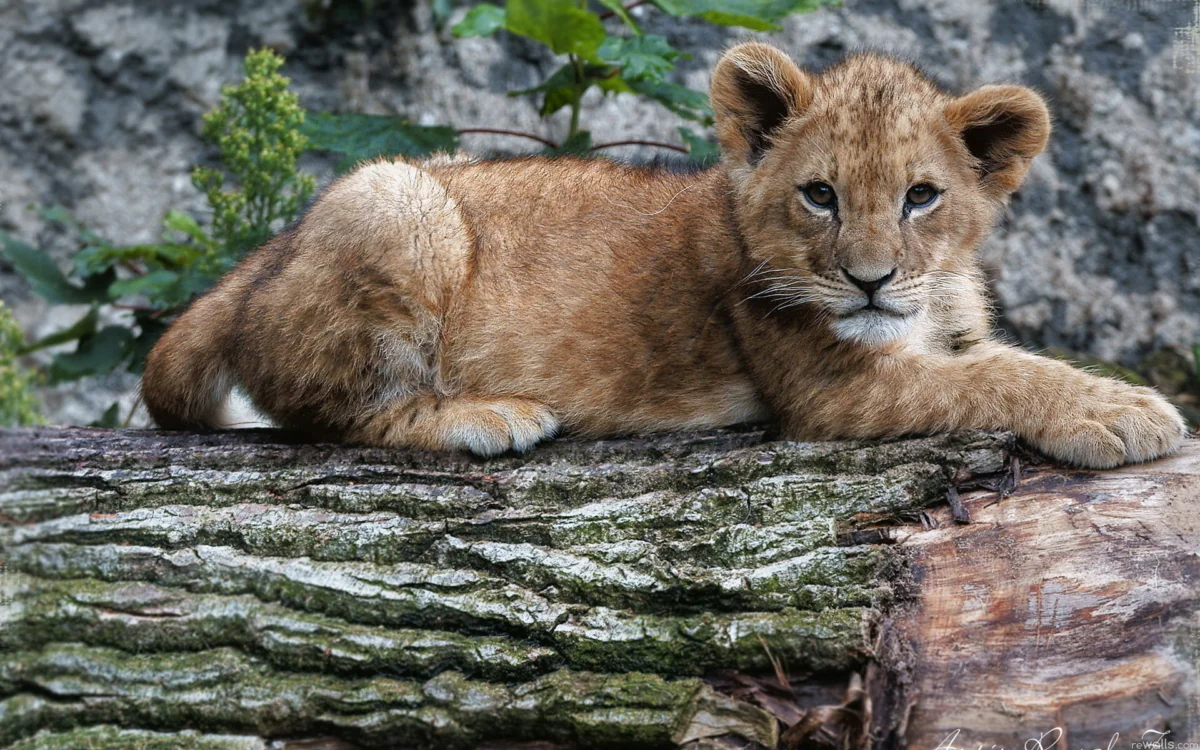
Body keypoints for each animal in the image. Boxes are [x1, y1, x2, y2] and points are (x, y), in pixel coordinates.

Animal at [141, 42, 1187, 468]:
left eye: (921, 197)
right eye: (820, 195)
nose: (869, 281)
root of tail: (267, 257)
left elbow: (1002, 359)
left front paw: (1108, 397)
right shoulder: (831, 394)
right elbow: (1000, 379)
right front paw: (1124, 411)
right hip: (396, 200)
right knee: (333, 411)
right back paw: (487, 415)